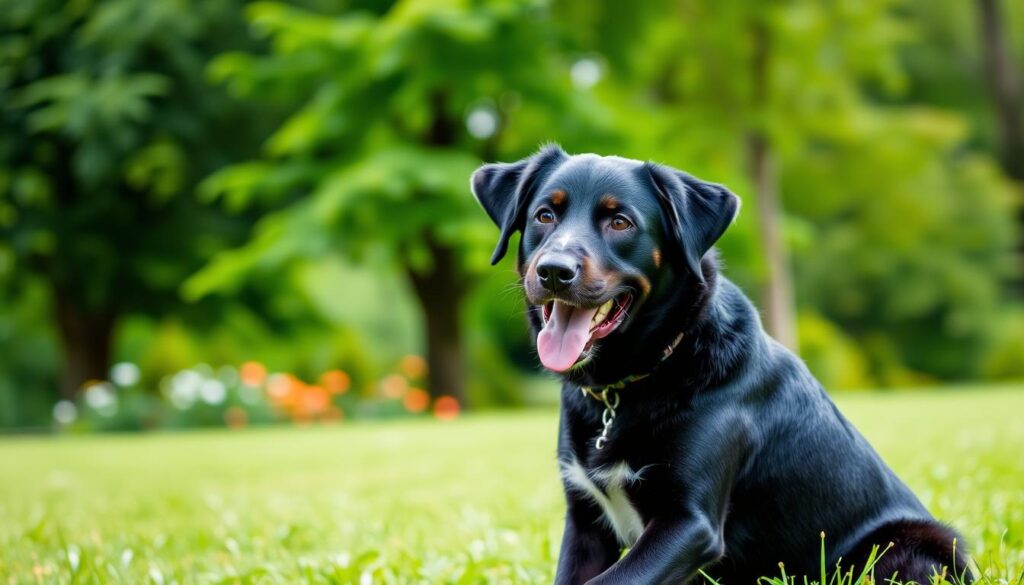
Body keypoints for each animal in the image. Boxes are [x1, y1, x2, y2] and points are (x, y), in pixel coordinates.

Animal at [471, 144, 966, 581]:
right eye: (545, 215)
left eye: (620, 222)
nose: (554, 271)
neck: (630, 382)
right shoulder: (586, 521)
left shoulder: (689, 523)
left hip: (912, 545)